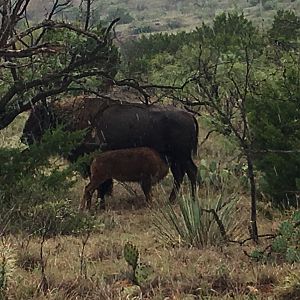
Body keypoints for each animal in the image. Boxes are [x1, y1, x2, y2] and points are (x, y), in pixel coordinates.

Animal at [21, 96, 199, 206]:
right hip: (175, 157)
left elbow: (102, 185)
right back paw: (172, 200)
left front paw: (100, 204)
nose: (24, 137)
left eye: (39, 117)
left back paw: (191, 199)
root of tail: (189, 116)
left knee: (191, 172)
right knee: (180, 174)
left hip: (181, 155)